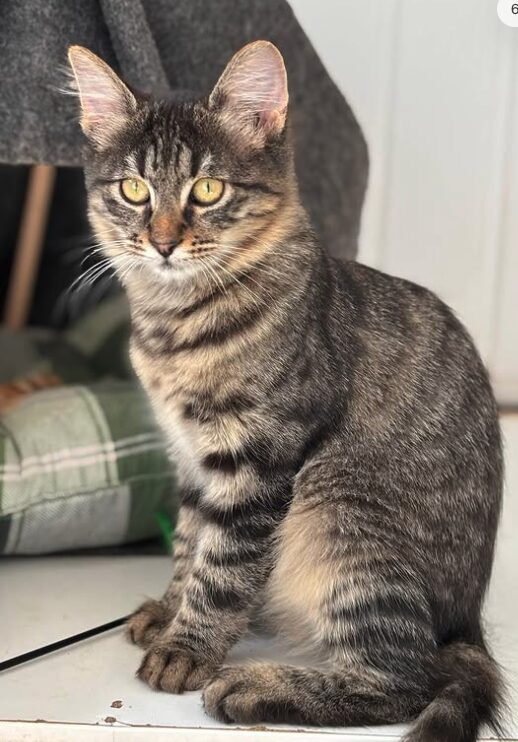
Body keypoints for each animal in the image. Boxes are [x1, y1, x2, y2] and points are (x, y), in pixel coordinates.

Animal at [68, 42, 504, 742]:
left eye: (208, 189)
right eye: (134, 190)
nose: (161, 242)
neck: (173, 325)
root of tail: (466, 627)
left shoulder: (258, 460)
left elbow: (221, 569)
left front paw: (187, 648)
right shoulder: (192, 458)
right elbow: (190, 544)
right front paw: (169, 609)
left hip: (338, 510)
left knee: (402, 680)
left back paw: (253, 688)